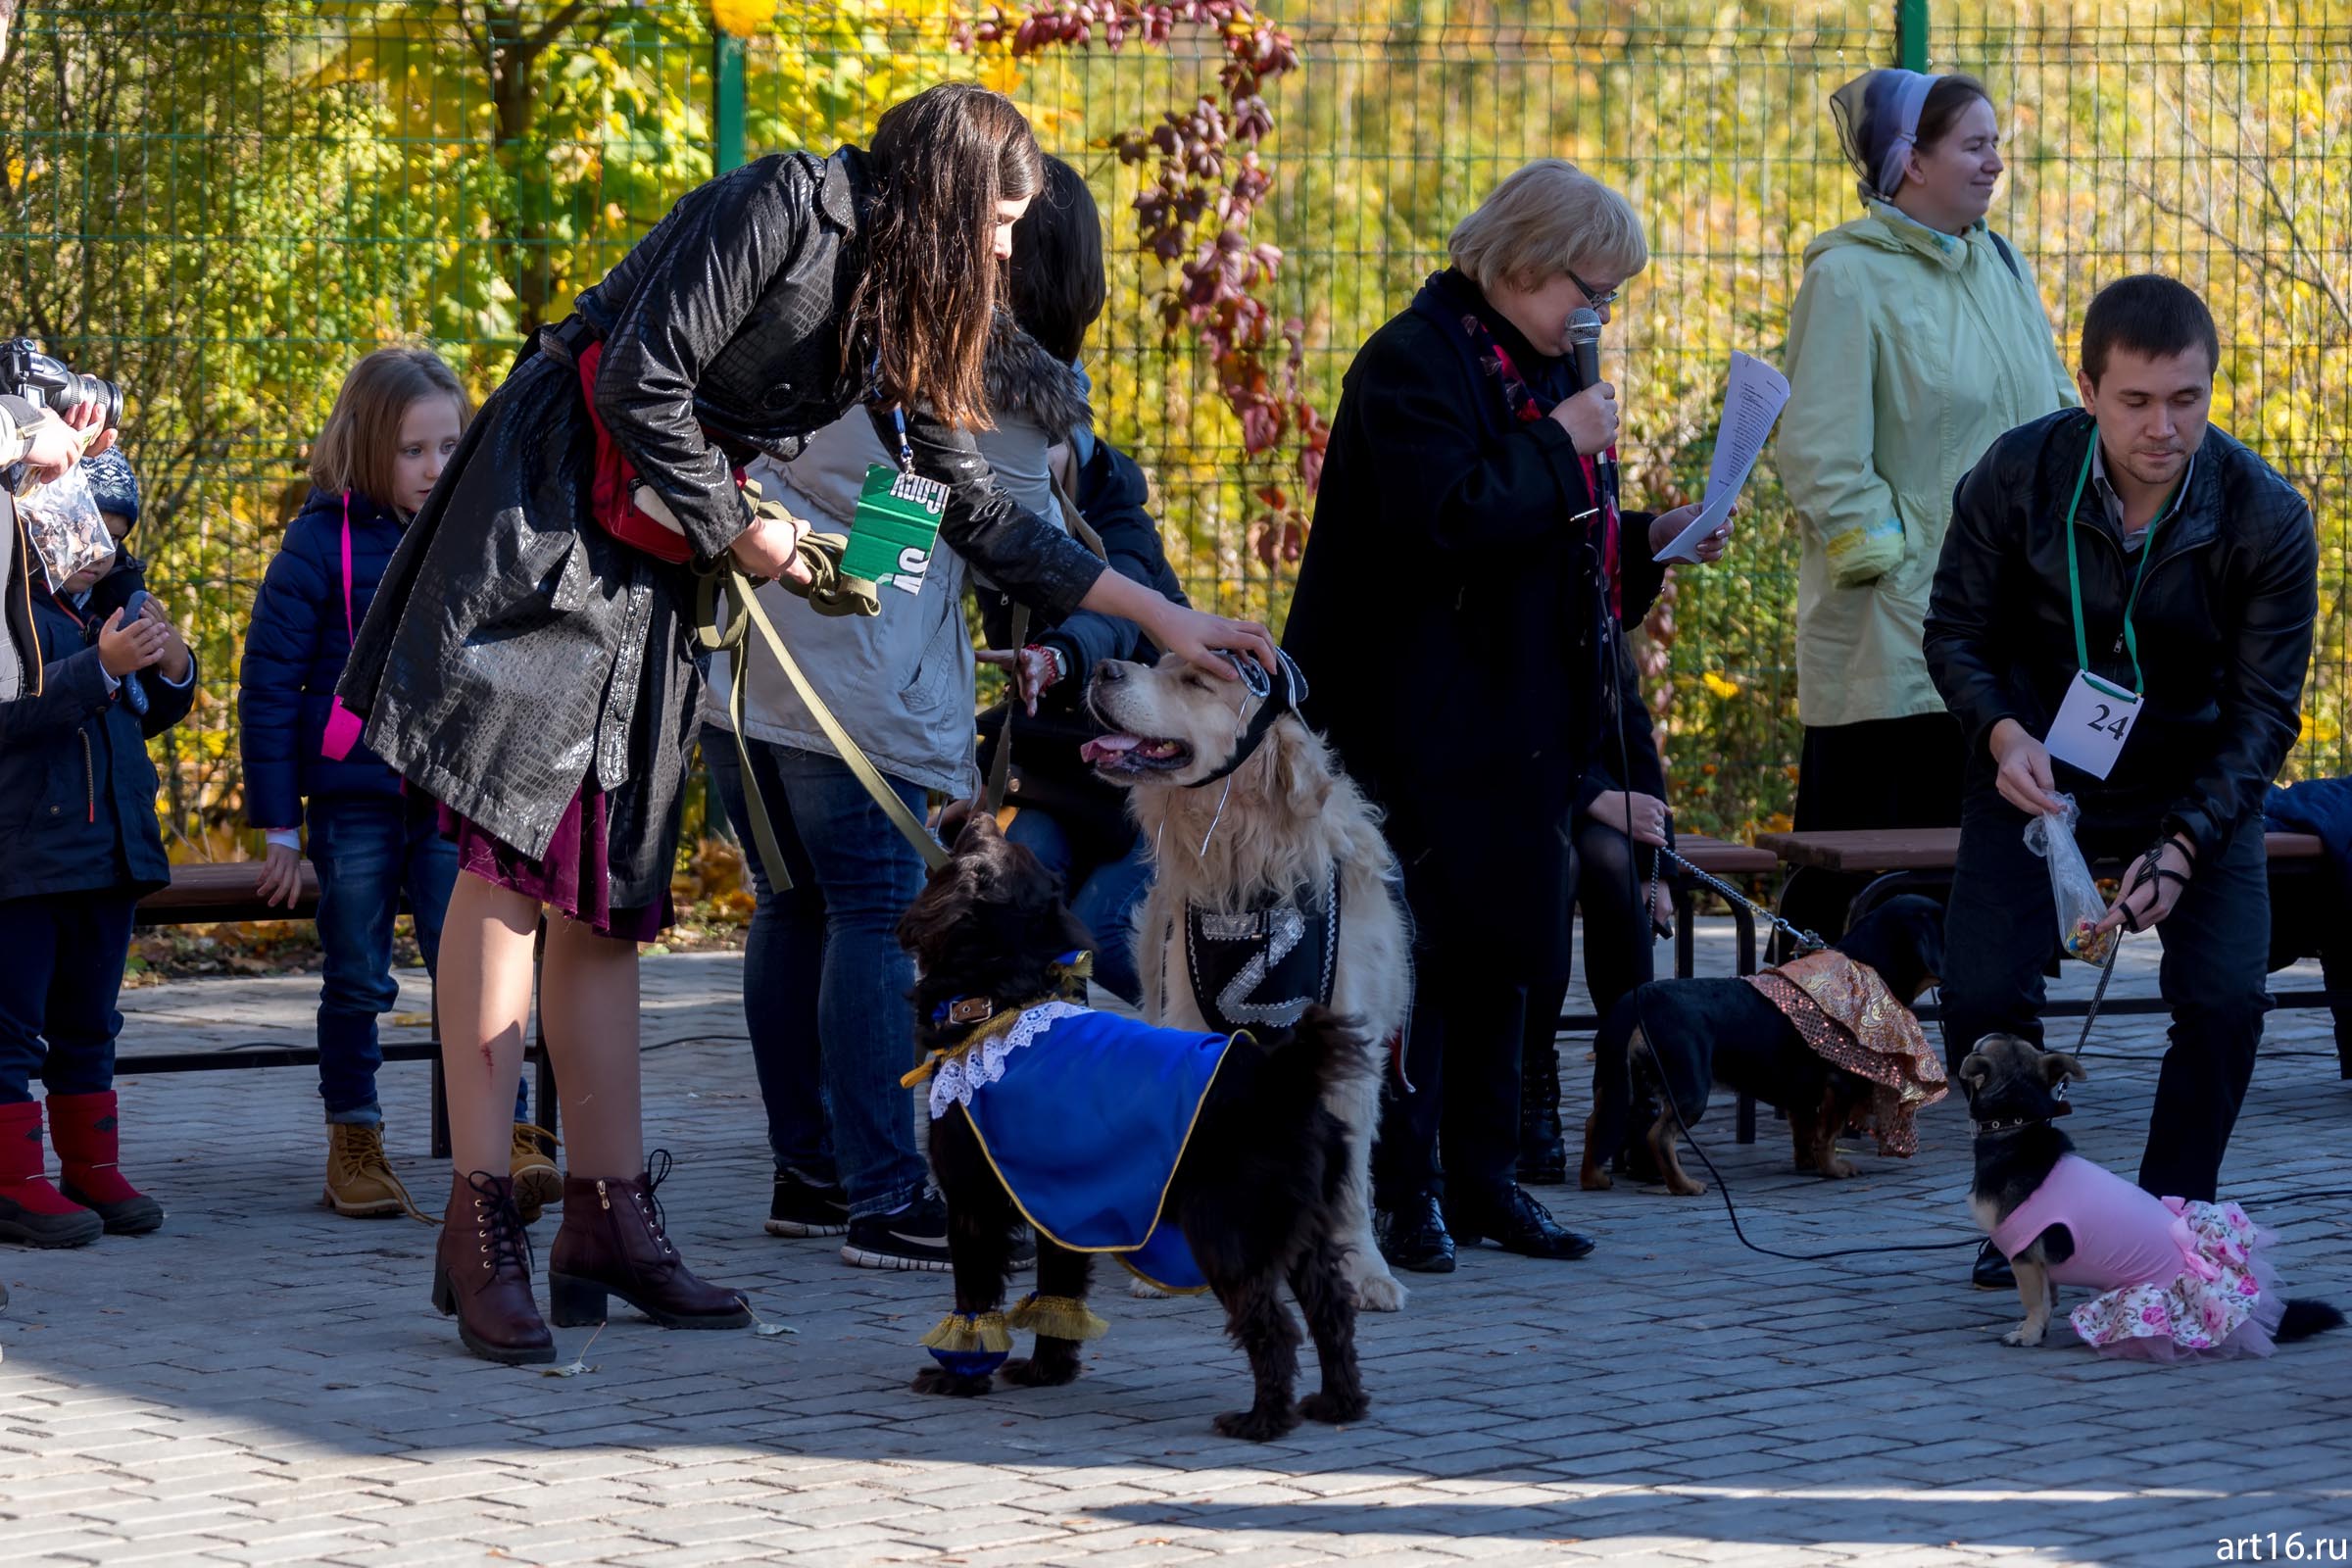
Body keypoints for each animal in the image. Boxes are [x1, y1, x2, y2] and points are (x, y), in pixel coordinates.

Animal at [898, 822, 1373, 1447]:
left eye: (975, 853)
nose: (975, 817)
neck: (1004, 1003)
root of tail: (1283, 1077)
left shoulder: (973, 1204)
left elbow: (974, 1296)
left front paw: (960, 1376)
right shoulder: (1059, 1208)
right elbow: (1058, 1289)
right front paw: (1048, 1371)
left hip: (1228, 1234)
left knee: (1273, 1326)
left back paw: (1262, 1420)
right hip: (1300, 1233)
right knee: (1331, 1310)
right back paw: (1338, 1403)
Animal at [1580, 903, 1947, 1194]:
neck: (1864, 965)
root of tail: (1640, 998)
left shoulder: (1802, 1094)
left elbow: (1805, 1131)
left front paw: (1807, 1163)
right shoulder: (1839, 1085)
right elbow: (1828, 1136)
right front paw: (1834, 1170)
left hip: (1621, 1082)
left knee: (1597, 1123)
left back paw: (1593, 1179)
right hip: (1690, 1088)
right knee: (1658, 1136)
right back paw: (1684, 1186)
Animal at [1966, 1034, 2332, 1353]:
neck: (2016, 1123)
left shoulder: (2024, 1256)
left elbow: (2033, 1301)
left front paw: (2026, 1334)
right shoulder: (2042, 1263)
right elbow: (2048, 1297)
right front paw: (2037, 1330)